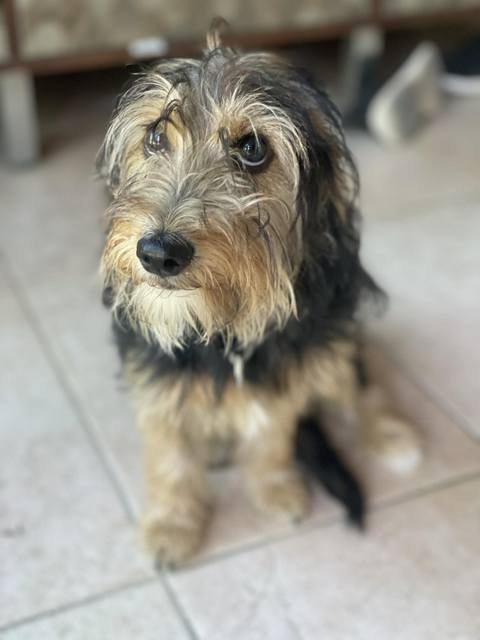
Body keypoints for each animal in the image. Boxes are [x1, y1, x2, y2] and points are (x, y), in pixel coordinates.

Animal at [97, 26, 421, 566]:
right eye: (155, 137)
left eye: (252, 147)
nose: (158, 252)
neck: (220, 324)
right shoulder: (157, 375)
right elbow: (170, 453)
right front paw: (172, 523)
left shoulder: (291, 368)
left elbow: (274, 431)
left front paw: (275, 488)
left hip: (333, 342)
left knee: (358, 384)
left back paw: (392, 435)